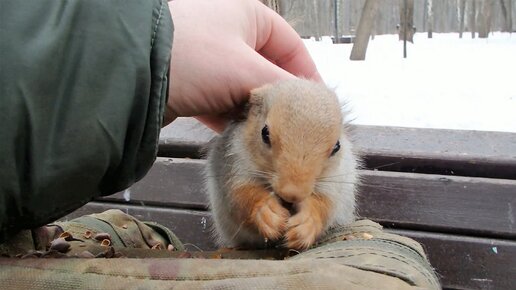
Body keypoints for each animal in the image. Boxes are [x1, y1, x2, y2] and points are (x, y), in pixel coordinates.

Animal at [204, 78, 360, 250]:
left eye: (337, 147)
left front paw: (307, 223)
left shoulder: (336, 181)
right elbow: (241, 195)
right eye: (265, 133)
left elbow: (325, 204)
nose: (293, 193)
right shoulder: (233, 165)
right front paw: (266, 211)